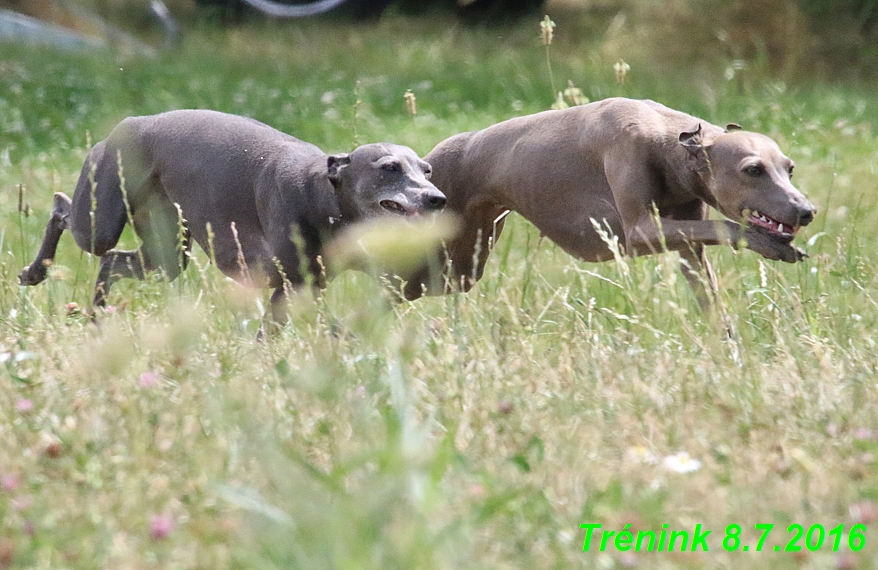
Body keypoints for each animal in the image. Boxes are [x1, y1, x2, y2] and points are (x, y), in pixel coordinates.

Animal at [20, 110, 446, 324]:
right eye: (389, 167)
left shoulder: (309, 285)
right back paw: (36, 269)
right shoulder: (290, 285)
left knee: (111, 262)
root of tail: (124, 126)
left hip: (166, 254)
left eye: (426, 170)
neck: (323, 196)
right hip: (101, 219)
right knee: (64, 211)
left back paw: (95, 316)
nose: (437, 199)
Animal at [406, 98, 820, 310]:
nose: (807, 211)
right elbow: (731, 226)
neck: (666, 136)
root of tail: (429, 159)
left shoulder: (691, 250)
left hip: (461, 267)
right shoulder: (639, 229)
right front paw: (768, 244)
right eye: (753, 169)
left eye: (789, 168)